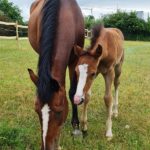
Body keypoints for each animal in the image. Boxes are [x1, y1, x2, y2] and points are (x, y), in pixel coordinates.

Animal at [27, 0, 85, 149]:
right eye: (36, 110)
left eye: (59, 112)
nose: (47, 147)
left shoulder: (74, 60)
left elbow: (72, 92)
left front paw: (76, 127)